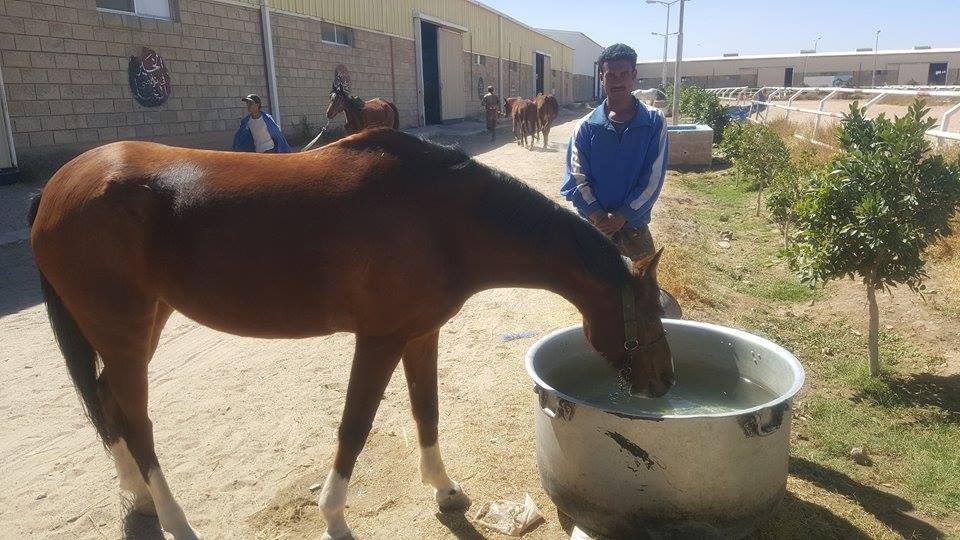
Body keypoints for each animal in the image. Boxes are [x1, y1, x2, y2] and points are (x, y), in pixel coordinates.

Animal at [31, 130, 676, 540]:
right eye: (650, 317)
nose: (664, 384)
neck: (442, 219)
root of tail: (58, 186)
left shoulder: (420, 334)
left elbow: (426, 411)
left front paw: (444, 489)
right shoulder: (380, 339)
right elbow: (354, 427)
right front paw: (334, 517)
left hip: (145, 322)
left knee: (108, 401)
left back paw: (138, 497)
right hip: (123, 330)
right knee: (135, 418)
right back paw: (175, 520)